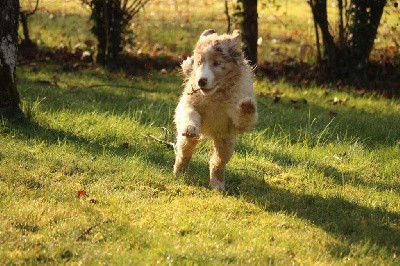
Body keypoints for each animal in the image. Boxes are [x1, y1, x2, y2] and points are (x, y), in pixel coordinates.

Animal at [173, 29, 258, 190]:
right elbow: (190, 112)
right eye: (199, 63)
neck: (215, 95)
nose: (201, 81)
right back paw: (179, 173)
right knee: (184, 152)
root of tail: (209, 132)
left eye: (217, 63)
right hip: (187, 141)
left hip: (225, 142)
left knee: (217, 162)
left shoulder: (235, 113)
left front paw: (247, 108)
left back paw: (217, 185)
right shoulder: (188, 103)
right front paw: (190, 126)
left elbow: (242, 120)